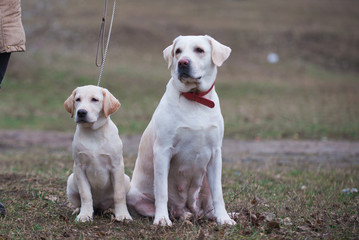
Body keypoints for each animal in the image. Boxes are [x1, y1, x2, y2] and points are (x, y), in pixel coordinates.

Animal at [64, 85, 132, 222]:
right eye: (77, 99)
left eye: (94, 100)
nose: (81, 112)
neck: (93, 132)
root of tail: (100, 206)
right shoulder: (79, 167)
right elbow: (85, 195)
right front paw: (85, 215)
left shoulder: (116, 166)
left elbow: (119, 194)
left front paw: (123, 215)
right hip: (71, 181)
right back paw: (79, 210)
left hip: (126, 179)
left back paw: (112, 210)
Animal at [127, 34, 236, 226]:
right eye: (178, 51)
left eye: (199, 50)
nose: (183, 62)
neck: (195, 98)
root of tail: (188, 207)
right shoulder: (162, 150)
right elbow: (161, 190)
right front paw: (162, 219)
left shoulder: (216, 153)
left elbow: (219, 193)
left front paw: (224, 219)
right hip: (133, 194)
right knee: (170, 208)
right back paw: (178, 215)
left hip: (205, 181)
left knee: (207, 208)